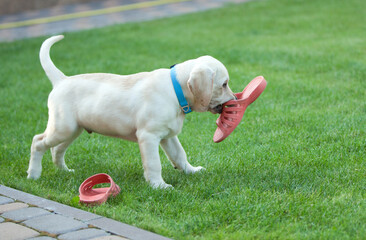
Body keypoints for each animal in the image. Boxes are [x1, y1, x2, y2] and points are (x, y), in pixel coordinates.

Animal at [27, 35, 234, 188]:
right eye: (224, 84)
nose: (234, 100)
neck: (175, 90)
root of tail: (61, 80)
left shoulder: (168, 136)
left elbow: (179, 155)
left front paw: (191, 171)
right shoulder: (148, 136)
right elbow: (154, 163)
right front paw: (159, 186)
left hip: (72, 130)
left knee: (56, 149)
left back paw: (64, 171)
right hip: (63, 127)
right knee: (38, 142)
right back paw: (34, 174)